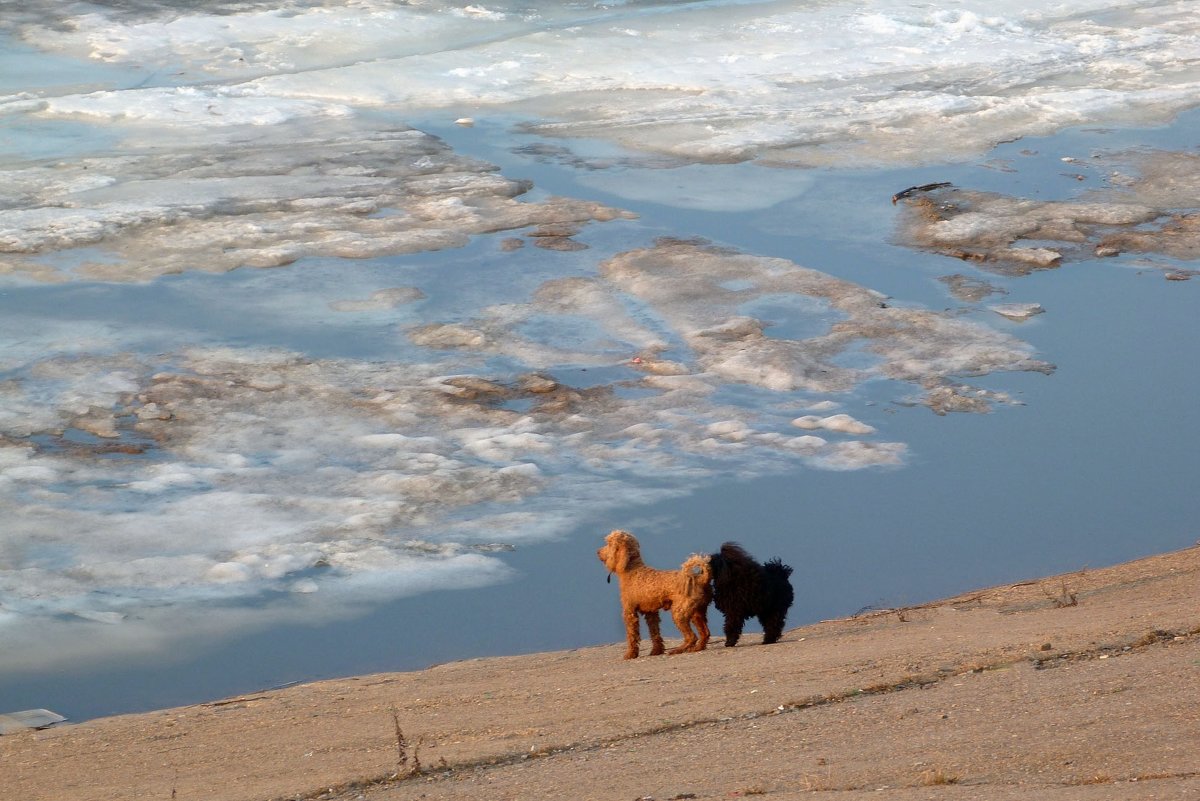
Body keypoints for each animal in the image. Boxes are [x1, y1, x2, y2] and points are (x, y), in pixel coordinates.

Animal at [595, 527, 705, 661]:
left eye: (609, 543)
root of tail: (699, 579)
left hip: (679, 613)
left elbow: (632, 635)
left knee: (692, 636)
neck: (632, 570)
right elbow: (655, 633)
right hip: (696, 612)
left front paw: (630, 654)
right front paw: (656, 651)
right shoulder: (651, 612)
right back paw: (698, 647)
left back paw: (678, 650)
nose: (598, 552)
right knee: (704, 633)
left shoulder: (629, 612)